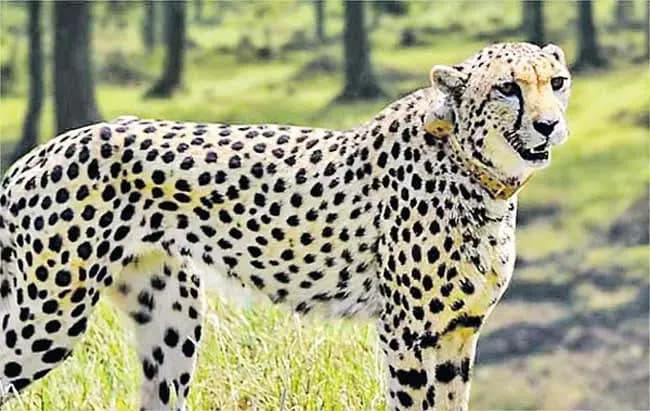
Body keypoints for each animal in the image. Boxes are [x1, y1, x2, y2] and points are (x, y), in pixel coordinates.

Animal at [0, 42, 571, 410]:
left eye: (557, 82)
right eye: (507, 88)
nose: (549, 125)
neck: (477, 170)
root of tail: (42, 150)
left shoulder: (457, 332)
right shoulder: (408, 333)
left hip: (171, 319)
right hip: (48, 314)